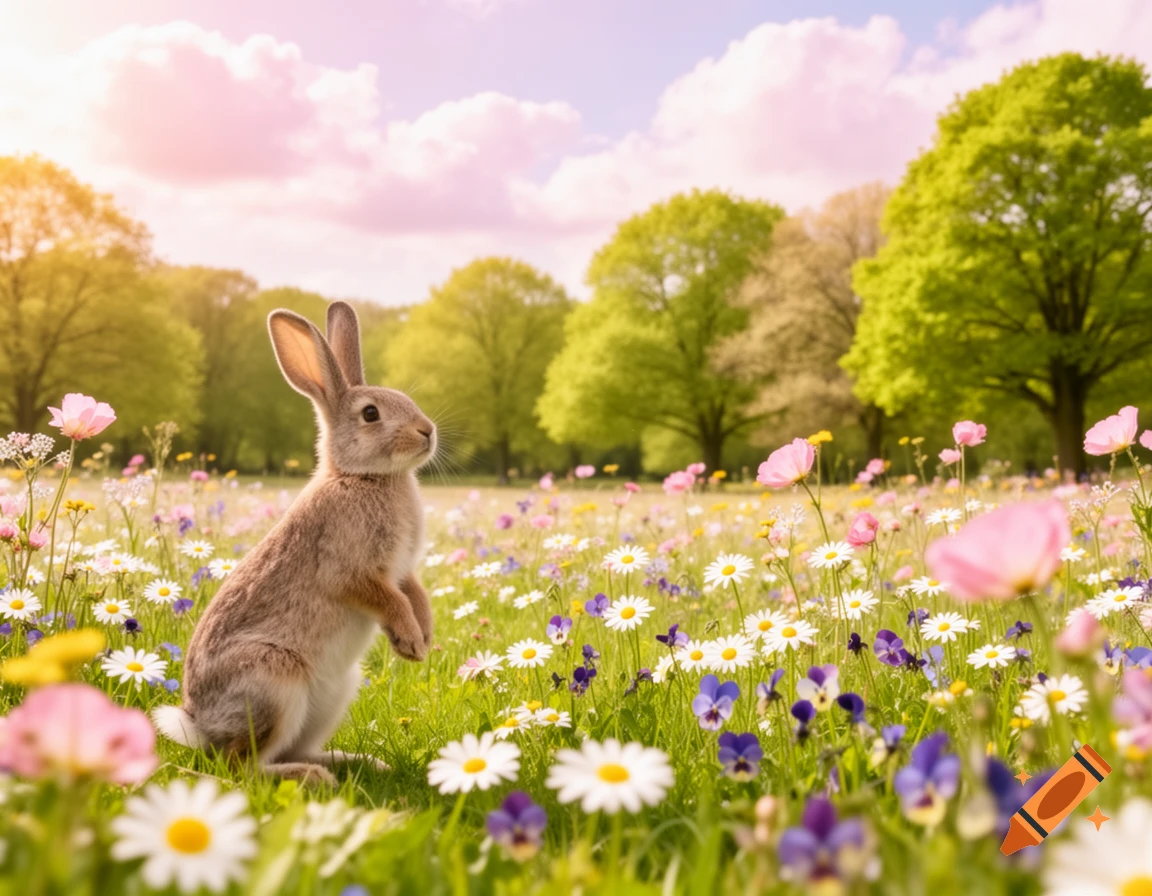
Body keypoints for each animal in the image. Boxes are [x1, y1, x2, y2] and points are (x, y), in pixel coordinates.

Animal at [152, 301, 436, 786]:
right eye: (371, 414)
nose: (427, 431)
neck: (362, 477)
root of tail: (199, 727)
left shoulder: (402, 570)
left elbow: (411, 593)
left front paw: (424, 636)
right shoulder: (350, 569)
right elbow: (385, 598)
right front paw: (411, 640)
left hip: (335, 694)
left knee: (290, 748)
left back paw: (357, 764)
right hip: (273, 681)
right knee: (242, 766)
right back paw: (311, 777)